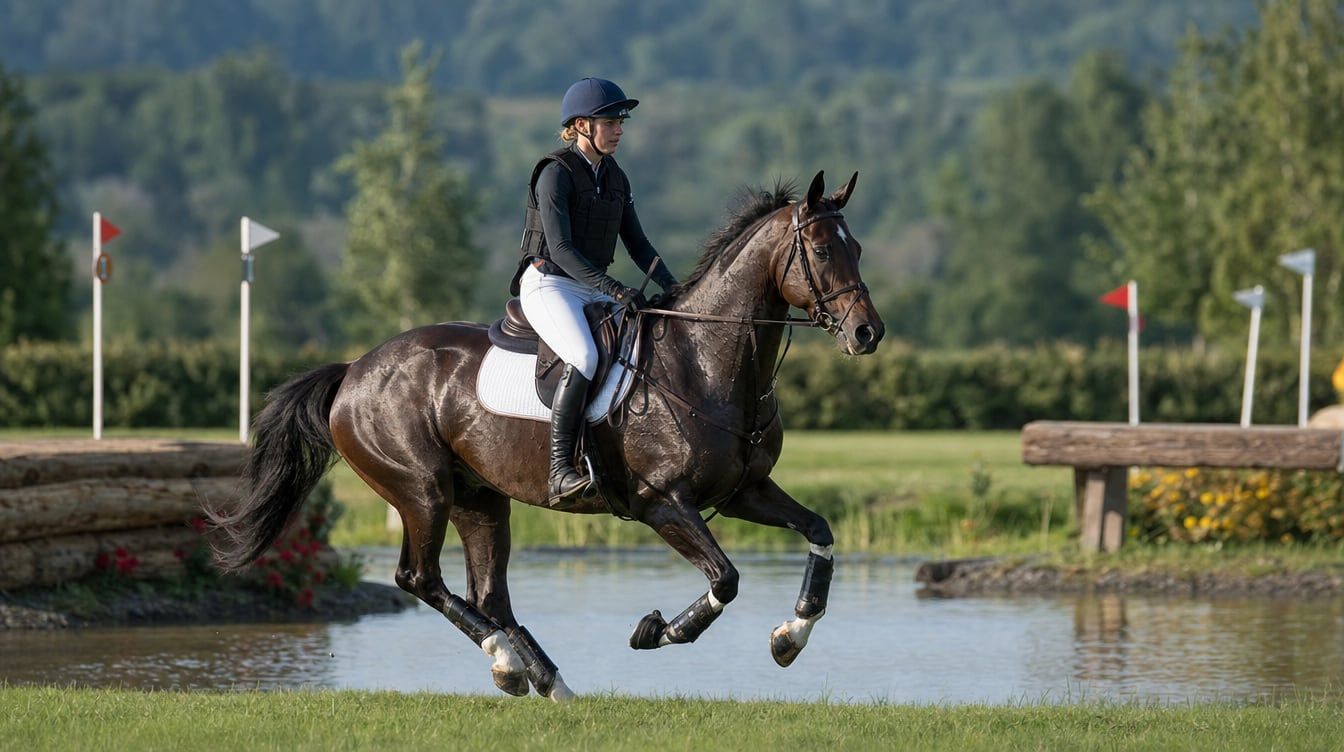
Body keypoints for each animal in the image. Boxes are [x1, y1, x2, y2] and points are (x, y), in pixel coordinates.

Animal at [208, 170, 885, 701]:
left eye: (856, 248)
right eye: (821, 250)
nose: (867, 334)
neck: (707, 360)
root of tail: (353, 371)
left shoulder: (745, 490)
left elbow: (820, 531)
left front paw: (790, 637)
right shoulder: (663, 503)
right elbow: (724, 579)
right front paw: (658, 631)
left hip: (481, 500)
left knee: (490, 594)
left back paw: (548, 681)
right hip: (421, 491)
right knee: (419, 579)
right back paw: (509, 665)